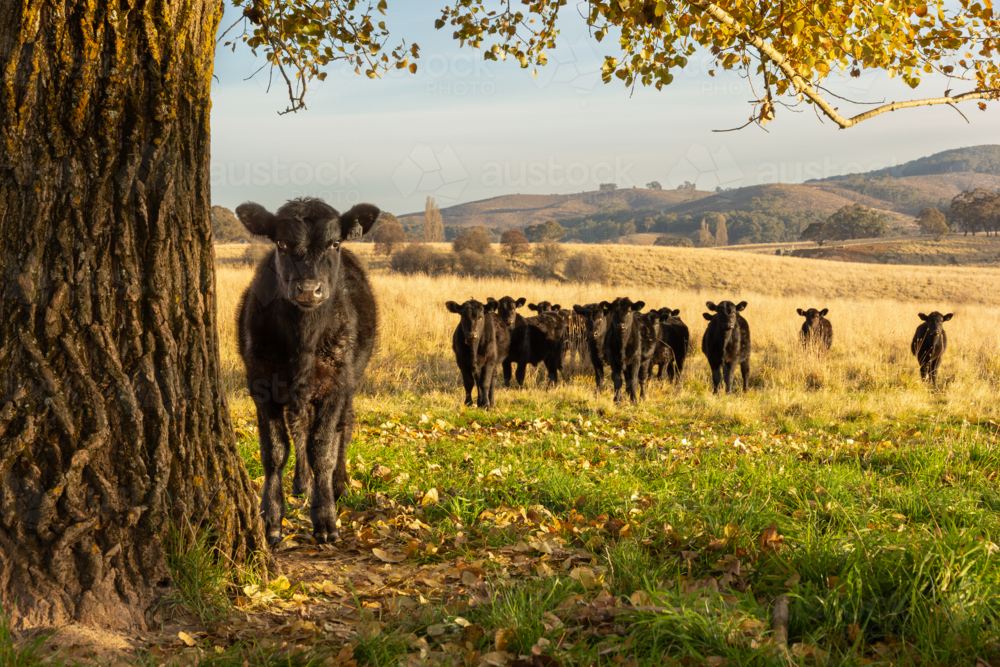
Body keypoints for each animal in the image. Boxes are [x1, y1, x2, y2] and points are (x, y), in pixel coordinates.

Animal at [235, 197, 380, 545]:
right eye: (281, 244)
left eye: (335, 243)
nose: (308, 290)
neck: (304, 338)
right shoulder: (261, 385)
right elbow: (275, 450)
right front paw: (271, 517)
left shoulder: (335, 386)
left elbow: (322, 448)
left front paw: (326, 518)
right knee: (299, 426)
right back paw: (301, 483)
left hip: (350, 381)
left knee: (343, 426)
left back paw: (338, 484)